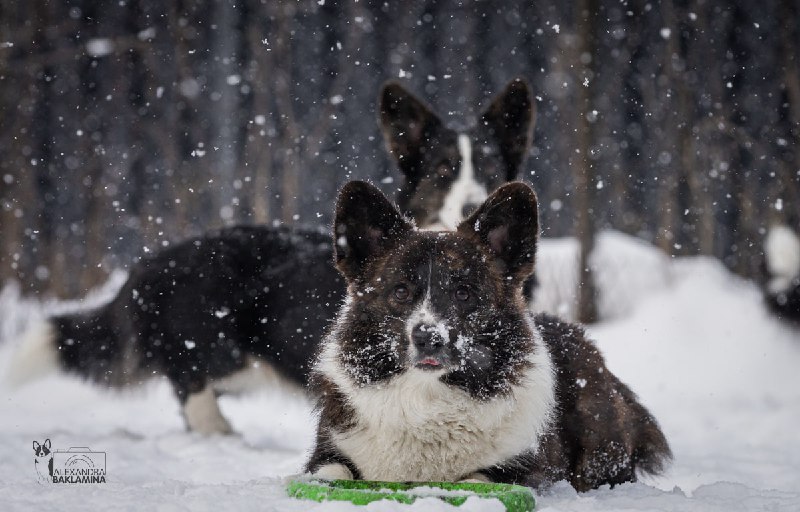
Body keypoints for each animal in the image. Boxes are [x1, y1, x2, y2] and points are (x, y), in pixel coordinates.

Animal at [306, 182, 668, 490]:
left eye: (463, 293)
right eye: (400, 291)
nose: (428, 338)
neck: (427, 395)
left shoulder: (522, 469)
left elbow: (478, 478)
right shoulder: (329, 452)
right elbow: (329, 472)